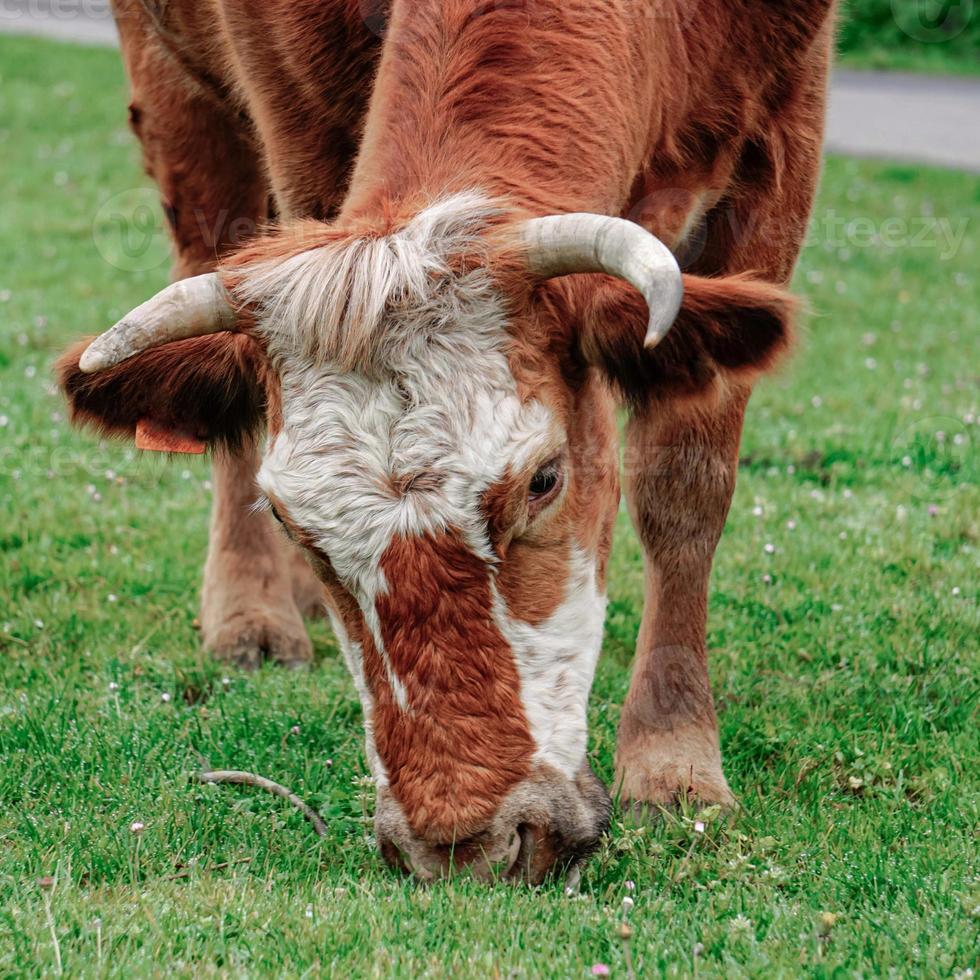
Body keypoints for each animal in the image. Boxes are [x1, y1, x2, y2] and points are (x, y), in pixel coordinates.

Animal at [57, 0, 836, 880]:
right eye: (292, 519)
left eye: (545, 480)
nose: (470, 846)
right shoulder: (291, 112)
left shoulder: (782, 127)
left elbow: (685, 486)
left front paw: (675, 763)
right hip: (178, 102)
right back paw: (252, 610)